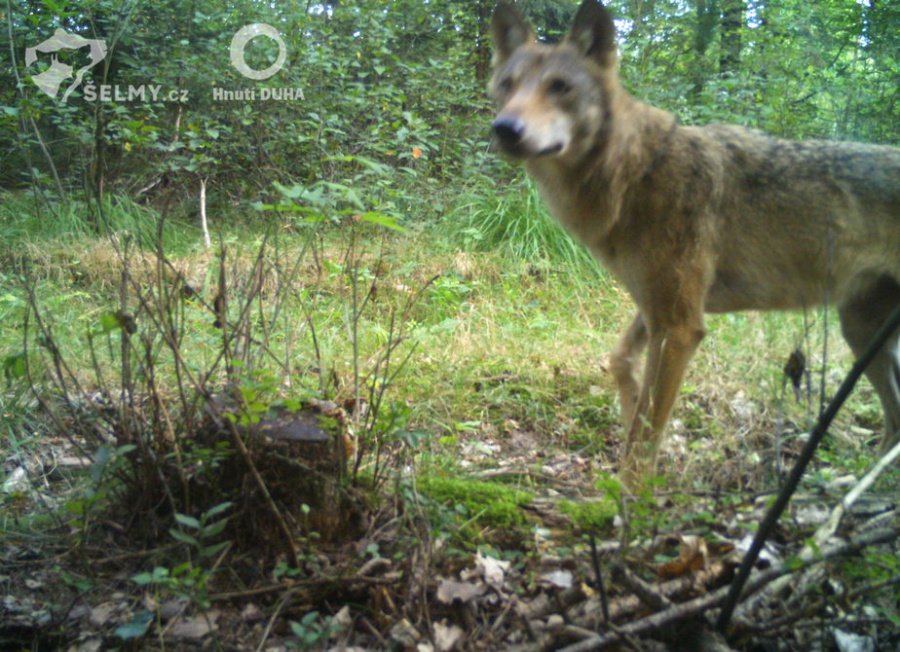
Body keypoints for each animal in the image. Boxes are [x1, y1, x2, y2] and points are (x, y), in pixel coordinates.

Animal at [492, 0, 900, 484]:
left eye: (560, 87)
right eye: (507, 85)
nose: (504, 128)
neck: (635, 172)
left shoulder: (680, 326)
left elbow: (644, 438)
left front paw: (629, 497)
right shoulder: (655, 307)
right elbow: (619, 362)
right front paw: (628, 405)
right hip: (861, 334)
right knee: (896, 421)